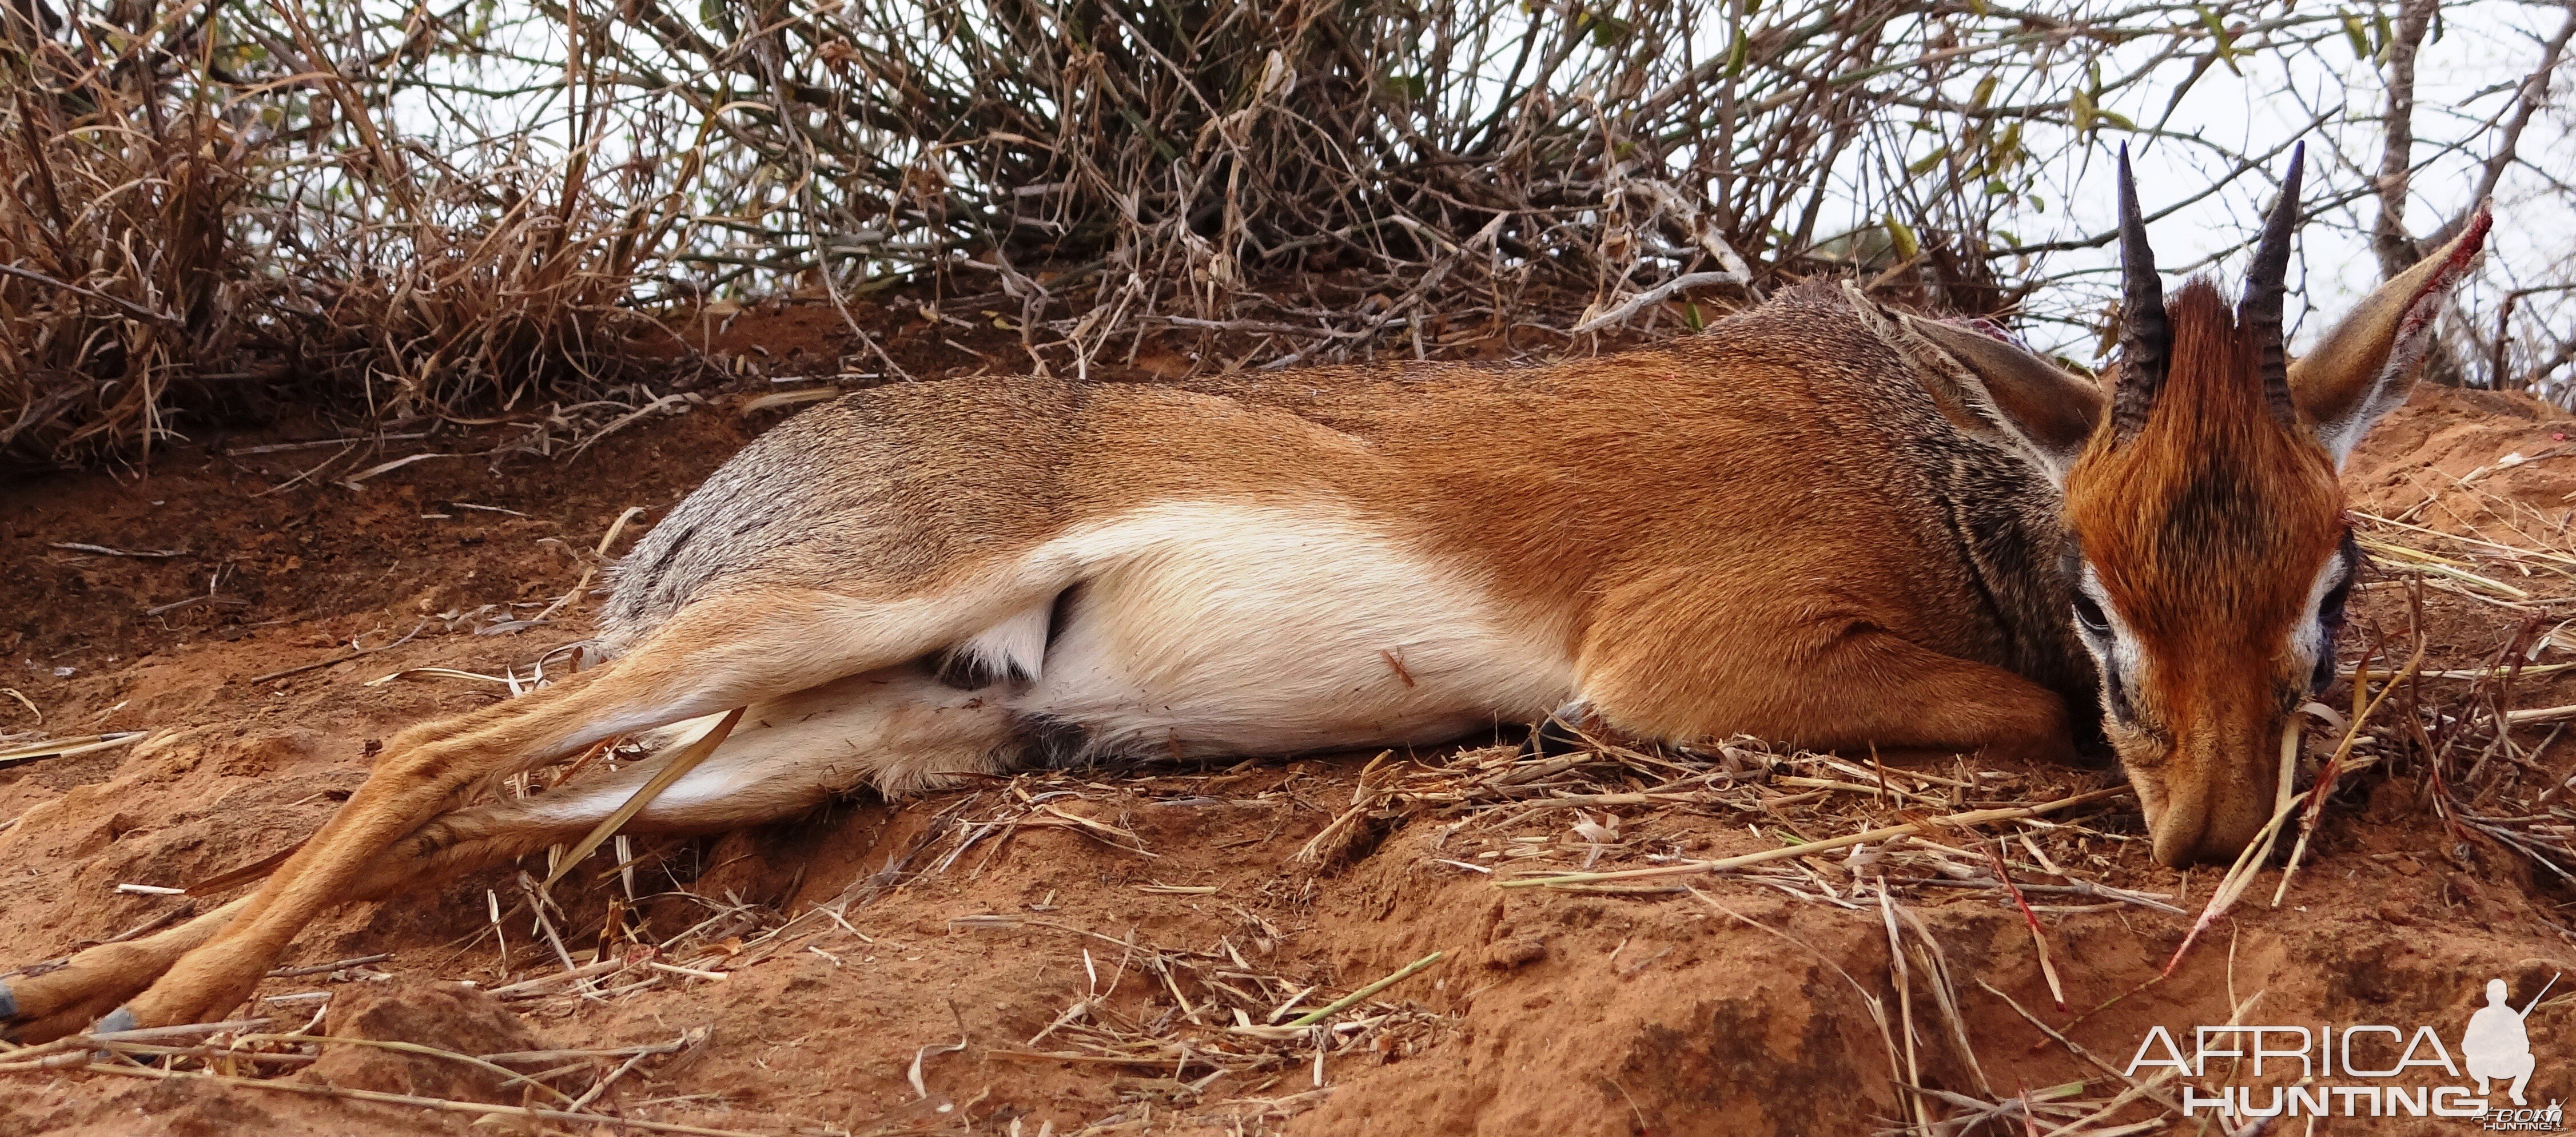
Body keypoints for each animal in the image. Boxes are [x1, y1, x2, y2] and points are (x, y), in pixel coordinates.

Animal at [5, 148, 2493, 1036]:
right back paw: (139, 1006)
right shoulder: (1692, 662)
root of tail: (694, 510)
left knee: (476, 802)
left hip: (848, 734)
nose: (2211, 825)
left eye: (2330, 565)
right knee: (427, 739)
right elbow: (2015, 721)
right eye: (2098, 578)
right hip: (799, 644)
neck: (1901, 451)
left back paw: (86, 986)